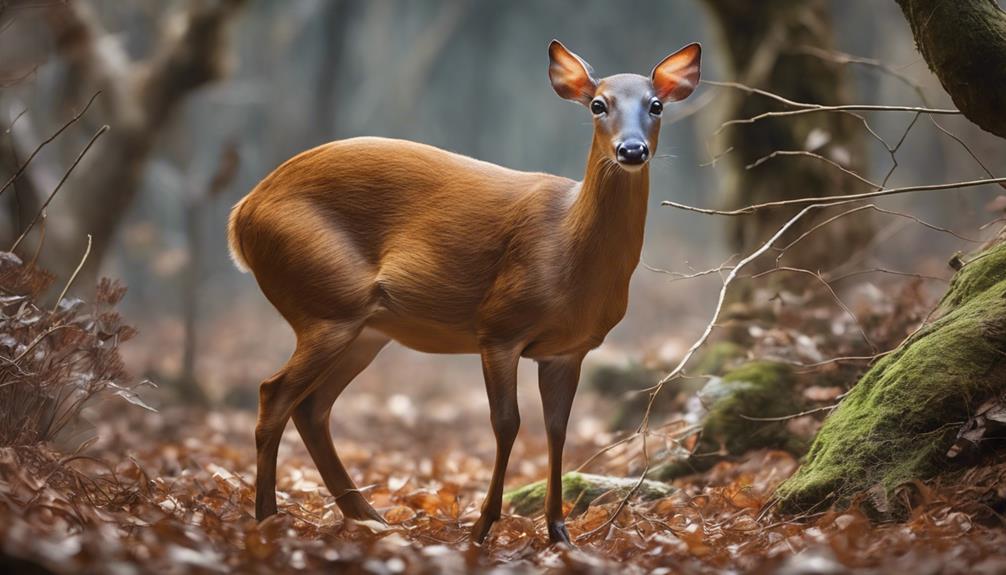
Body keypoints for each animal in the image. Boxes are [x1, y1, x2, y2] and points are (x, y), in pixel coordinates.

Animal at [227, 39, 700, 542]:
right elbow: (507, 424)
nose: (631, 149)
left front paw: (558, 531)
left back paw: (369, 518)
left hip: (365, 328)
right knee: (273, 393)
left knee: (312, 408)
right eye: (597, 104)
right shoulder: (498, 327)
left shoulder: (567, 350)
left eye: (656, 105)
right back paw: (268, 517)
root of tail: (241, 215)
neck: (567, 244)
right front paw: (482, 526)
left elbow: (557, 429)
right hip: (325, 303)